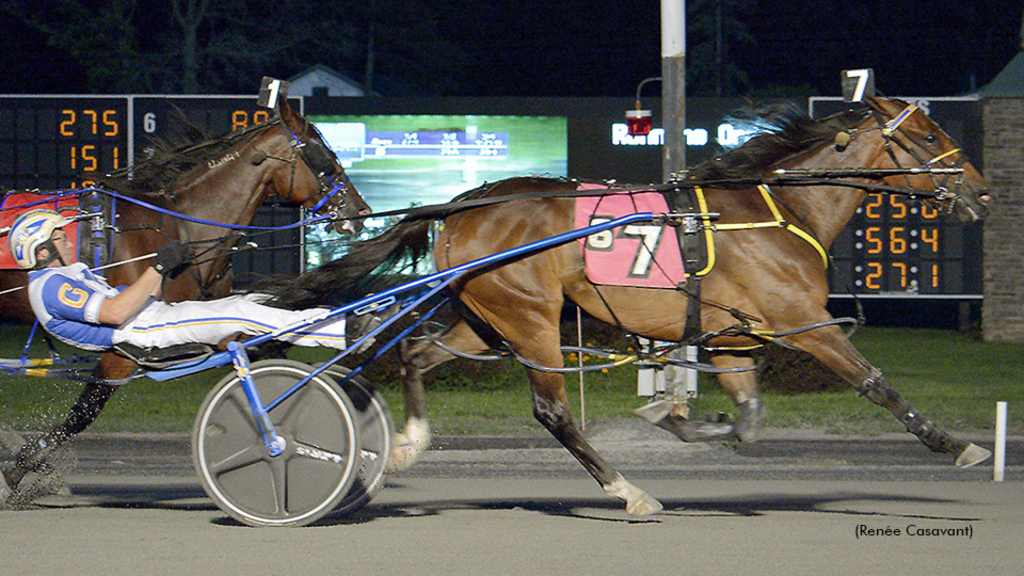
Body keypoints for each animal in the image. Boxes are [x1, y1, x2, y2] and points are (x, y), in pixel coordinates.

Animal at [0, 96, 368, 491]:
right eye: (323, 155)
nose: (360, 211)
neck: (182, 225)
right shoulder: (126, 344)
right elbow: (85, 410)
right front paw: (22, 466)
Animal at [264, 96, 991, 512]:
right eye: (929, 136)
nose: (981, 192)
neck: (778, 209)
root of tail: (466, 201)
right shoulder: (803, 324)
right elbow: (877, 385)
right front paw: (958, 446)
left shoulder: (731, 339)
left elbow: (748, 418)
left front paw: (676, 416)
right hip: (531, 318)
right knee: (552, 410)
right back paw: (628, 491)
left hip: (486, 316)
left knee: (416, 353)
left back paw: (408, 446)